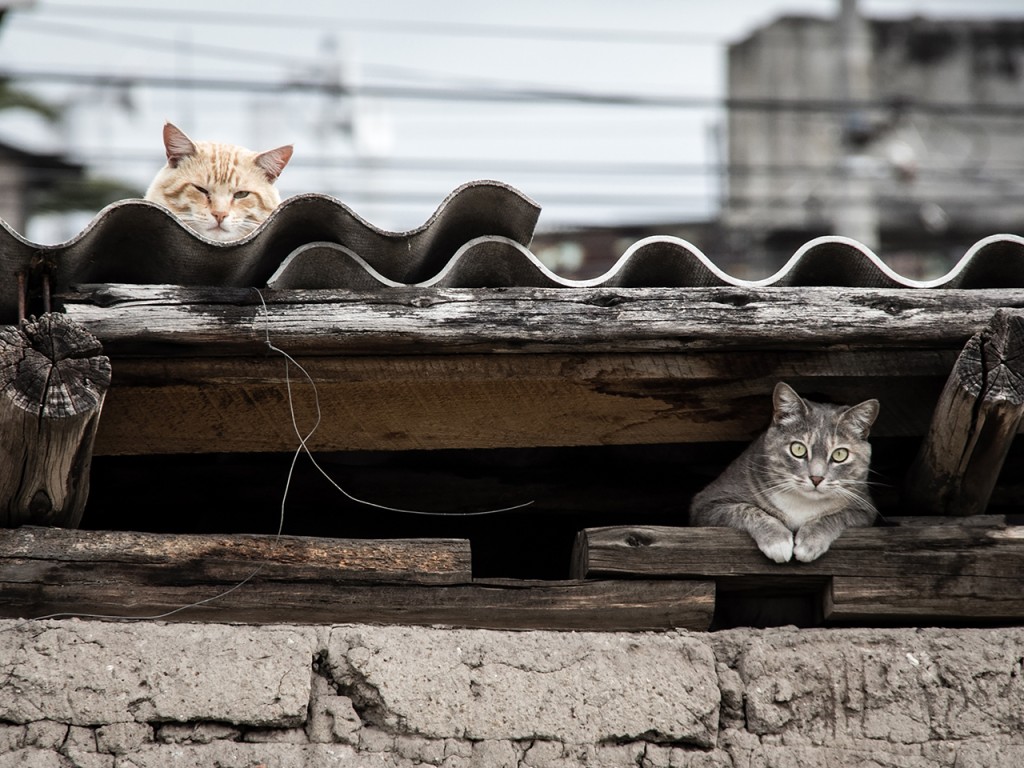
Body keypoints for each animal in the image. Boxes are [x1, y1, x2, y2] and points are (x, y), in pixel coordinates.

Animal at [688, 382, 880, 565]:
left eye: (840, 454)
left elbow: (837, 515)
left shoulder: (865, 509)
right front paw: (777, 541)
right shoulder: (706, 503)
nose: (816, 478)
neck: (802, 503)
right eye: (798, 449)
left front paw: (811, 541)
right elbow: (745, 509)